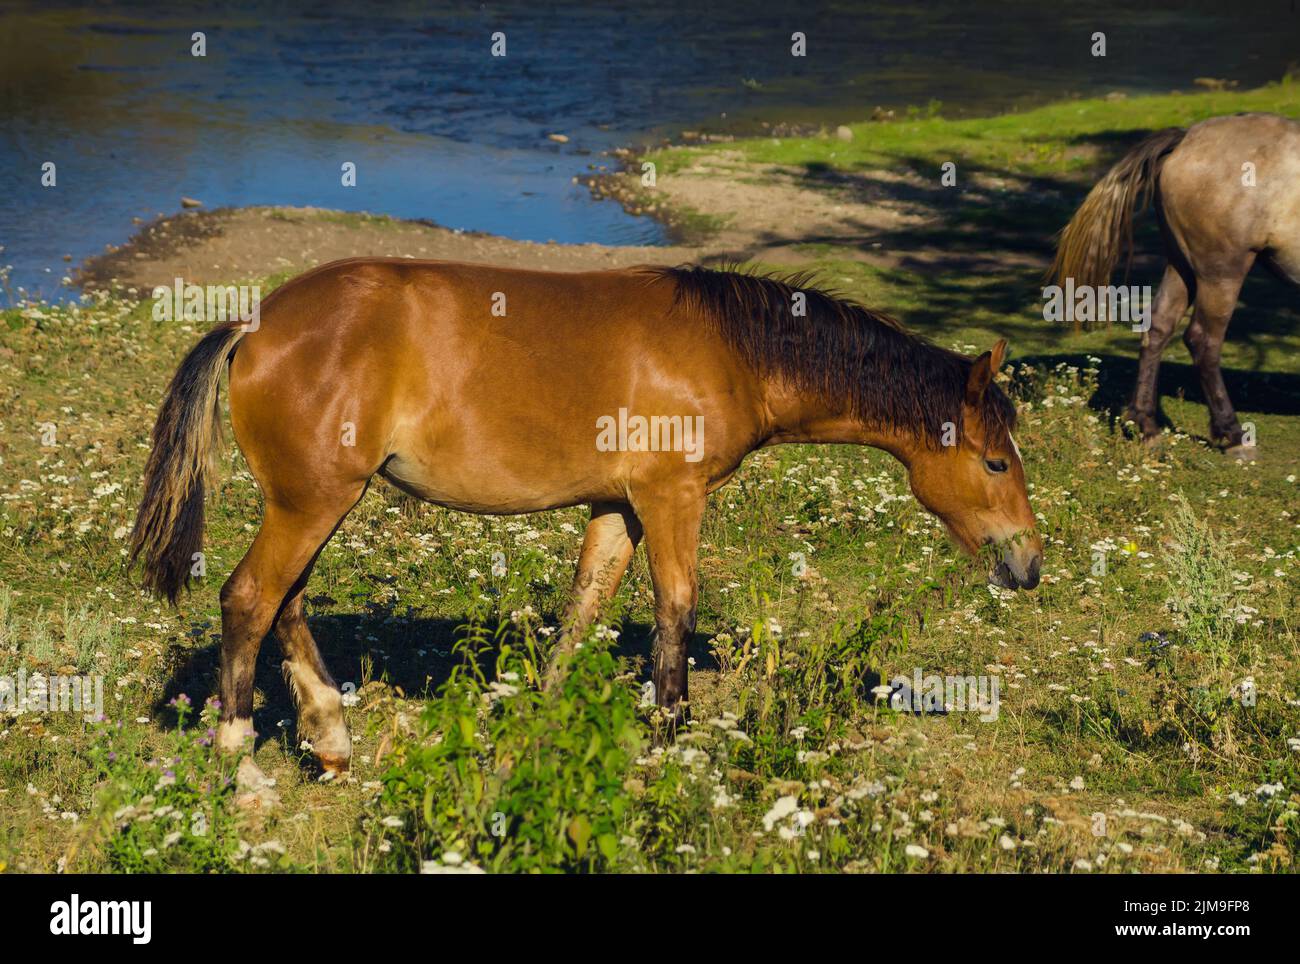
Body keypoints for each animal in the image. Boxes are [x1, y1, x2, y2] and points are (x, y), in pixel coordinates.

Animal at [129, 259, 1043, 775]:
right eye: (996, 462)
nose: (1028, 564)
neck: (732, 351)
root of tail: (255, 325)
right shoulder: (671, 497)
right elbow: (675, 611)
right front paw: (672, 736)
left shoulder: (617, 506)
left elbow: (582, 612)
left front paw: (540, 722)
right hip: (313, 502)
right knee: (251, 600)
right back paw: (238, 757)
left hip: (316, 502)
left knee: (285, 602)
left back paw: (329, 738)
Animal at [1048, 112, 1300, 457]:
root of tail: (1186, 138)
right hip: (1221, 274)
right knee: (1203, 341)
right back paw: (1233, 434)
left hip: (1181, 266)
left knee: (1157, 329)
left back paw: (1145, 426)